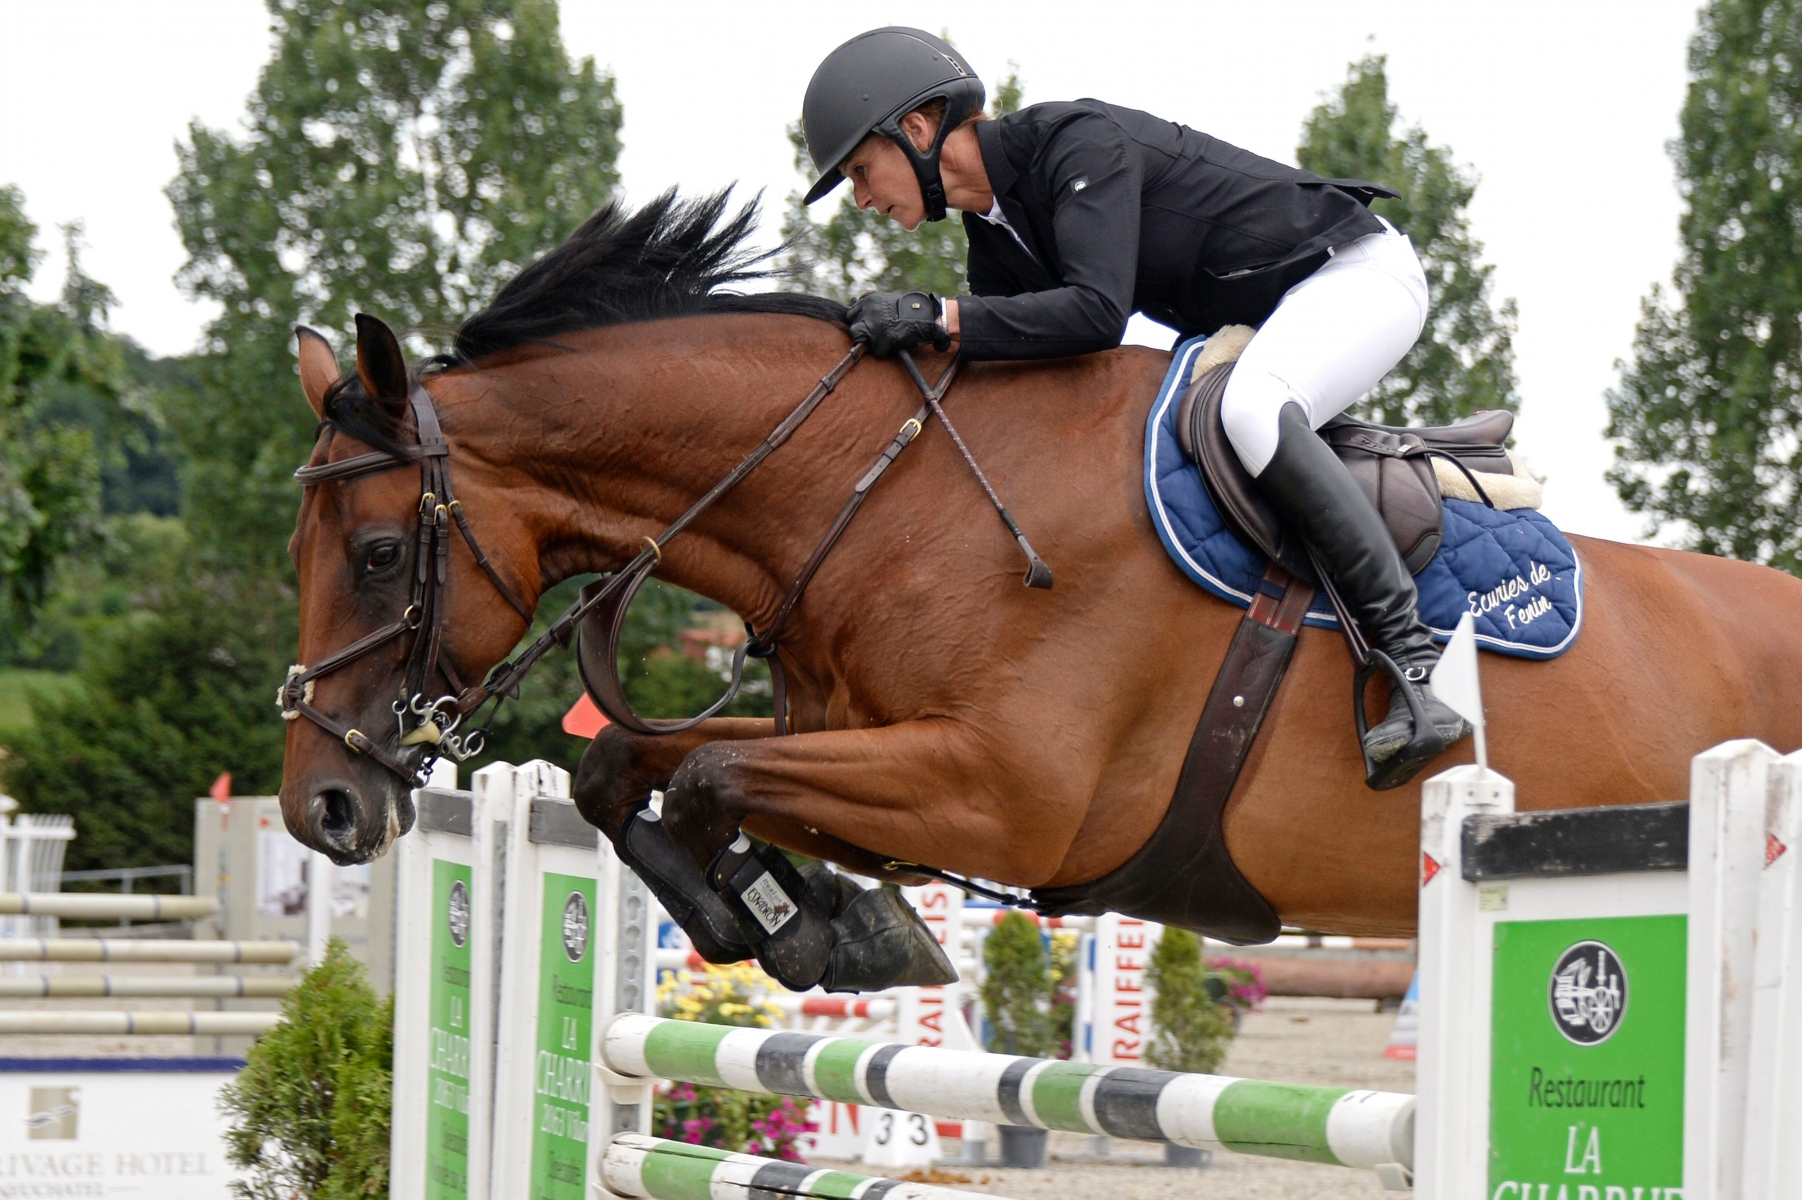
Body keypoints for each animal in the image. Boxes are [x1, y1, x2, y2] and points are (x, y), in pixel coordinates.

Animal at [273, 191, 1802, 980]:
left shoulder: (1004, 794)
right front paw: (809, 925)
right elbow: (624, 774)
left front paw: (832, 932)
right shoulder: (864, 741)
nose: (320, 808)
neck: (884, 486)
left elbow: (705, 778)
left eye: (373, 555)